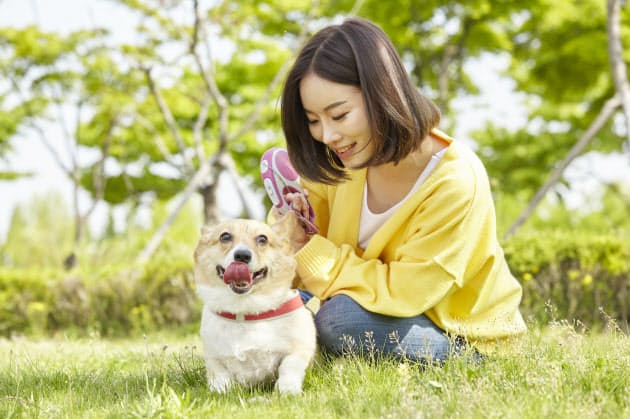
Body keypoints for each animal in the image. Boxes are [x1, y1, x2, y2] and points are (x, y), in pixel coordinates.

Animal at [194, 215, 316, 396]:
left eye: (262, 239)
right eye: (225, 236)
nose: (242, 256)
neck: (246, 311)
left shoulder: (299, 350)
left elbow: (289, 366)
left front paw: (287, 390)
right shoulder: (213, 357)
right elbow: (219, 375)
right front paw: (220, 391)